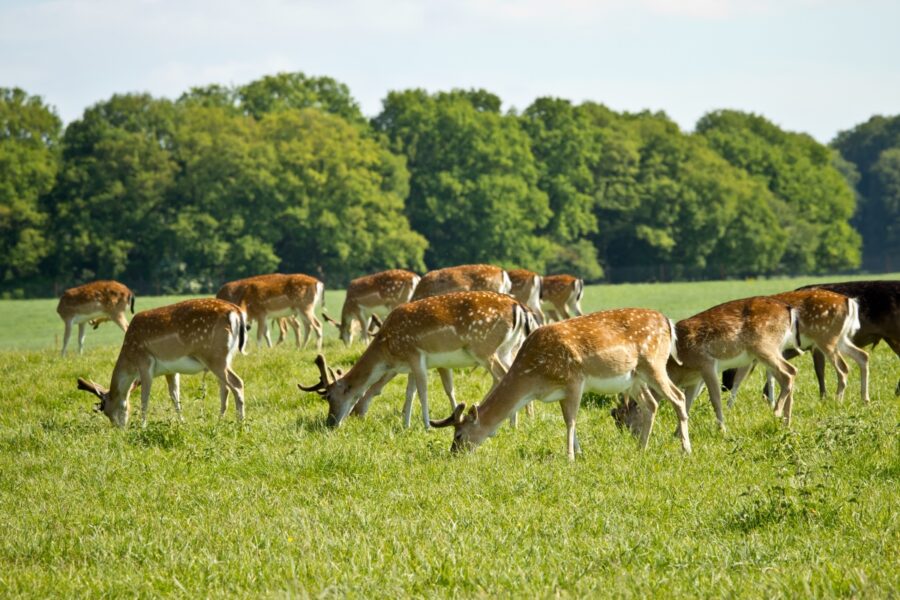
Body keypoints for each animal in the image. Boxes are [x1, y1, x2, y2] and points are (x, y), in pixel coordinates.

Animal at [75, 298, 246, 427]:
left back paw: (240, 424)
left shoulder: (145, 363)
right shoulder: (171, 370)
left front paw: (142, 426)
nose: (119, 429)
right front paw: (182, 422)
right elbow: (175, 397)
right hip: (226, 357)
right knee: (225, 388)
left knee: (237, 383)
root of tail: (235, 312)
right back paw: (219, 421)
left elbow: (145, 398)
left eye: (107, 411)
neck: (129, 358)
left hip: (214, 356)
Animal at [298, 291, 539, 429]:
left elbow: (422, 391)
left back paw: (512, 423)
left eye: (329, 397)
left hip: (483, 348)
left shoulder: (416, 354)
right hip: (506, 349)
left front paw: (426, 425)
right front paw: (405, 425)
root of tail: (521, 308)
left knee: (503, 376)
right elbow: (410, 392)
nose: (329, 423)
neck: (387, 349)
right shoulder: (412, 363)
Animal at [429, 308, 691, 460]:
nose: (453, 454)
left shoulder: (574, 380)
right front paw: (579, 452)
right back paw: (641, 449)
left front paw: (570, 457)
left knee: (678, 397)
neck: (534, 380)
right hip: (634, 377)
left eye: (459, 435)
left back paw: (685, 450)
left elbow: (570, 420)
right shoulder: (560, 392)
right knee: (651, 404)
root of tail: (668, 322)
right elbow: (569, 420)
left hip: (654, 362)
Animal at [725, 289, 869, 408]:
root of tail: (850, 301)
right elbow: (769, 376)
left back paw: (837, 401)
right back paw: (864, 399)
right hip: (840, 338)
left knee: (843, 367)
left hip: (827, 338)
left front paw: (729, 407)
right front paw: (771, 404)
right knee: (863, 356)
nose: (724, 387)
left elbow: (740, 379)